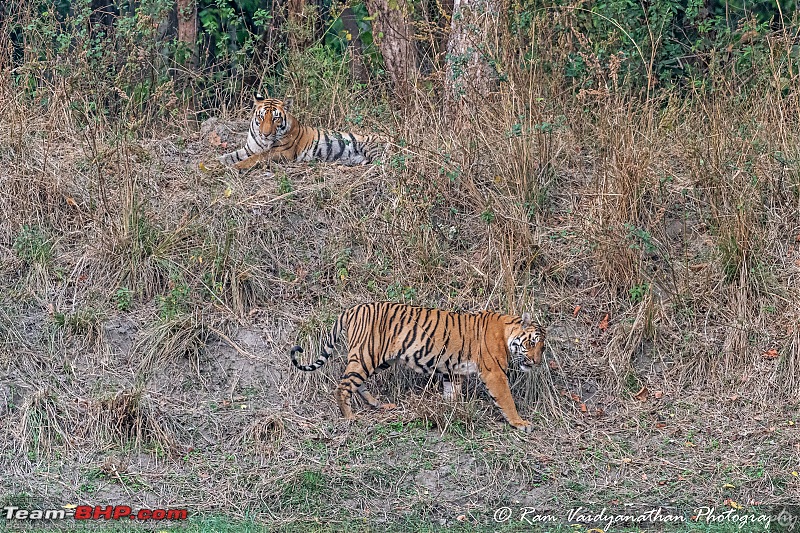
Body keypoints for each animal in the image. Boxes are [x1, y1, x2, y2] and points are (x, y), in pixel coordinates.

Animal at [220, 94, 386, 168]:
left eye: (275, 118)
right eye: (261, 117)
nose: (265, 134)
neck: (263, 142)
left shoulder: (280, 152)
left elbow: (256, 158)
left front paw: (236, 167)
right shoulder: (250, 148)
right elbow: (232, 155)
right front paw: (218, 162)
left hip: (372, 146)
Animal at [290, 302, 548, 430]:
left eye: (543, 348)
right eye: (532, 343)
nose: (536, 362)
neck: (507, 332)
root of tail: (353, 308)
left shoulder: (453, 373)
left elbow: (451, 396)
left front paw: (449, 413)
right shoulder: (494, 373)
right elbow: (506, 399)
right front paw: (520, 423)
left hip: (376, 360)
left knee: (358, 384)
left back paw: (379, 405)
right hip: (366, 354)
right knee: (343, 386)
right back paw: (350, 417)